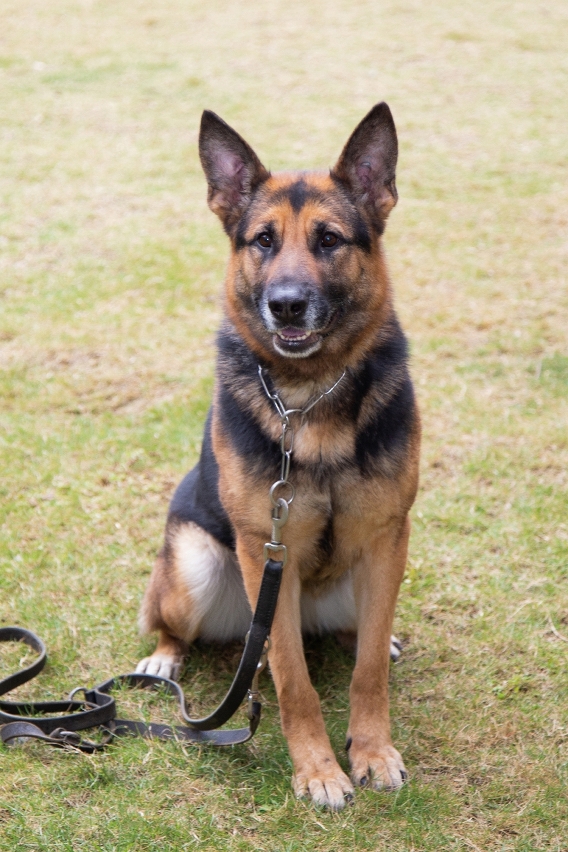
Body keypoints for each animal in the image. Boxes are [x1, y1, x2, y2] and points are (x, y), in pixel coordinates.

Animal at [136, 103, 420, 810]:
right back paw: (165, 657)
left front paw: (372, 751)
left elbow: (367, 672)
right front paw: (317, 769)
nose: (286, 304)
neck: (308, 397)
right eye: (263, 240)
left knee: (354, 635)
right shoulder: (270, 549)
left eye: (330, 240)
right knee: (192, 628)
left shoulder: (387, 538)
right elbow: (294, 679)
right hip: (197, 566)